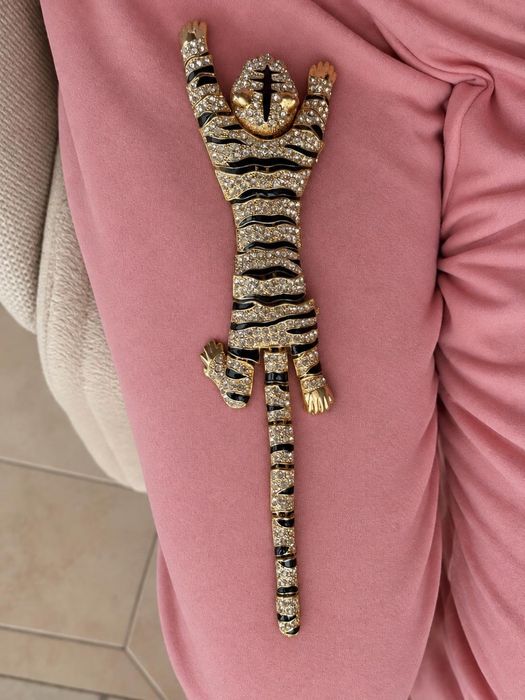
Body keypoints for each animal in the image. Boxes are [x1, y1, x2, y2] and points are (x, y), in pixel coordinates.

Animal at [179, 19, 337, 637]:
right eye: (263, 75)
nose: (268, 57)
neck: (265, 141)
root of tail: (272, 342)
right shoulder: (275, 150)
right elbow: (309, 127)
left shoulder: (232, 140)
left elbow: (206, 95)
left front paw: (193, 40)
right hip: (298, 323)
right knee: (305, 367)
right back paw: (315, 392)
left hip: (249, 331)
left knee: (238, 395)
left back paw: (213, 362)